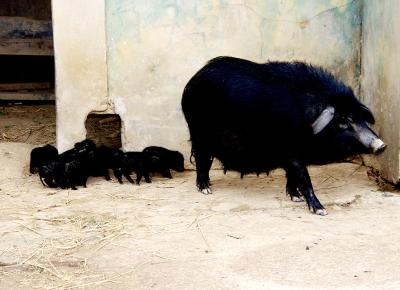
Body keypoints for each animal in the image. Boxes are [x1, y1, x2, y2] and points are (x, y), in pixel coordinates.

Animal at [181, 56, 384, 215]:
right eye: (343, 120)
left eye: (360, 118)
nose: (381, 144)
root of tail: (192, 80)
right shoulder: (292, 151)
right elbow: (304, 179)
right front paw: (321, 211)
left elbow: (293, 177)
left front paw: (295, 198)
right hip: (198, 134)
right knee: (201, 161)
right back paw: (206, 190)